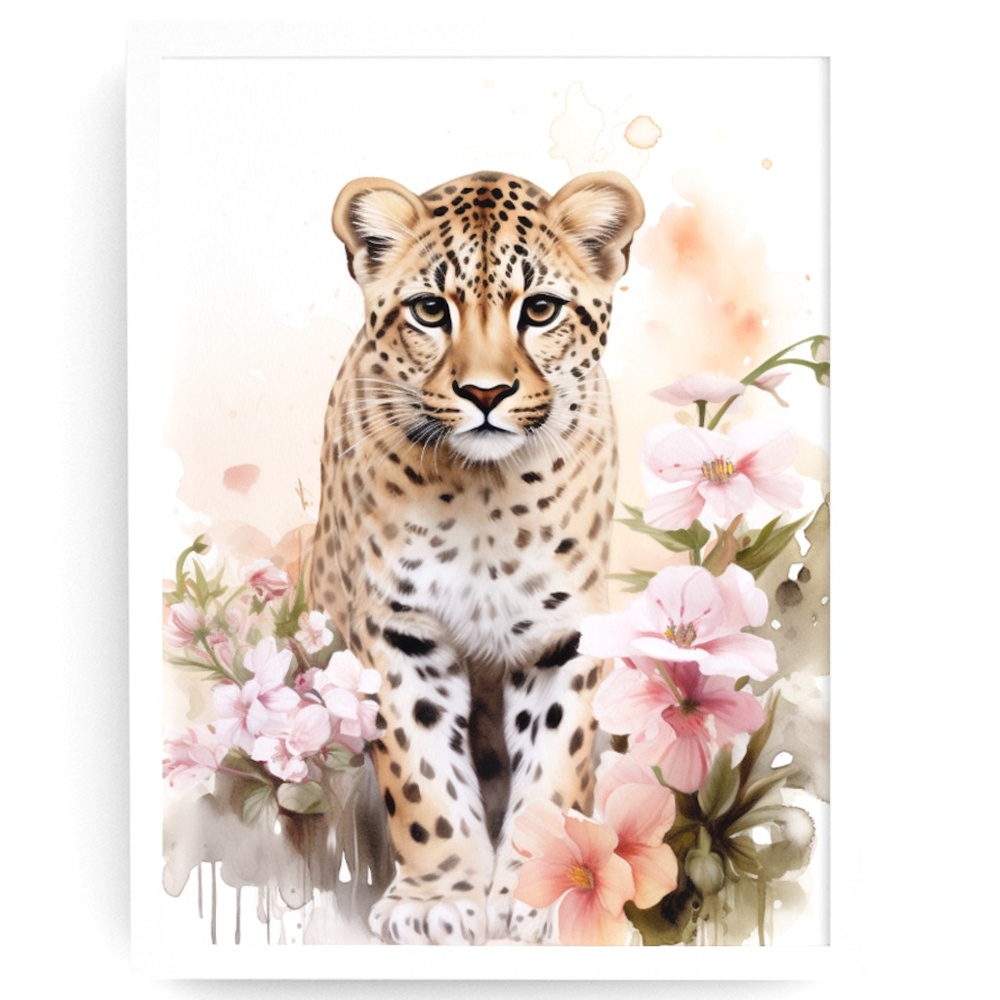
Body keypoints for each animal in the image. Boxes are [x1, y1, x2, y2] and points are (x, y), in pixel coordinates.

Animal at [311, 169, 644, 944]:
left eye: (541, 309)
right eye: (431, 310)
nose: (485, 393)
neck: (486, 498)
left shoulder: (560, 633)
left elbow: (556, 766)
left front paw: (546, 890)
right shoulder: (397, 629)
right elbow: (422, 774)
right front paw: (436, 900)